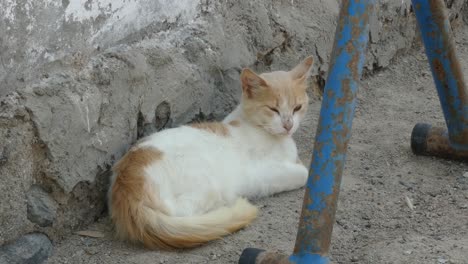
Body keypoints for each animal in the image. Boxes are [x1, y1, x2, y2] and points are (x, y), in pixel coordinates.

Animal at [109, 55, 314, 250]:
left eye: (297, 108)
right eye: (273, 109)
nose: (288, 125)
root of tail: (126, 187)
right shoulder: (257, 174)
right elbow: (304, 172)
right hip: (206, 184)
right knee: (184, 213)